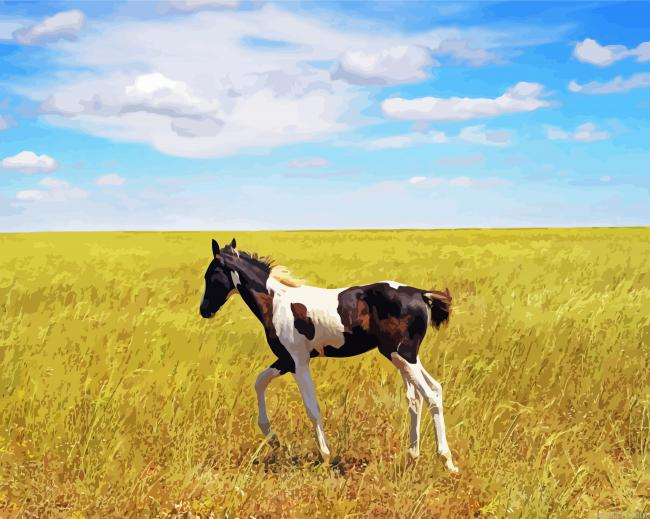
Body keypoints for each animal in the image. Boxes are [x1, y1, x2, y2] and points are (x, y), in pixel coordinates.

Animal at [199, 238, 458, 473]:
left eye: (211, 275)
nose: (204, 310)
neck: (276, 303)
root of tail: (422, 294)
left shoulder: (298, 361)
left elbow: (312, 408)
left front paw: (324, 455)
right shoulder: (286, 360)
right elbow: (260, 381)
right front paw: (273, 439)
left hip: (402, 354)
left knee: (430, 395)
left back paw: (447, 461)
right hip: (405, 357)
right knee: (421, 396)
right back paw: (413, 456)